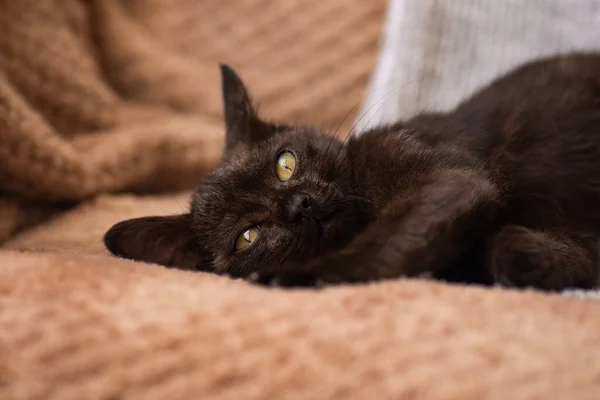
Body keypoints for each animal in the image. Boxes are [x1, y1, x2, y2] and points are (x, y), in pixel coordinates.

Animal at [105, 54, 600, 290]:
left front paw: (297, 278)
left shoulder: (447, 183)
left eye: (286, 164)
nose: (299, 205)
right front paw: (528, 259)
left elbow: (385, 239)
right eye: (248, 236)